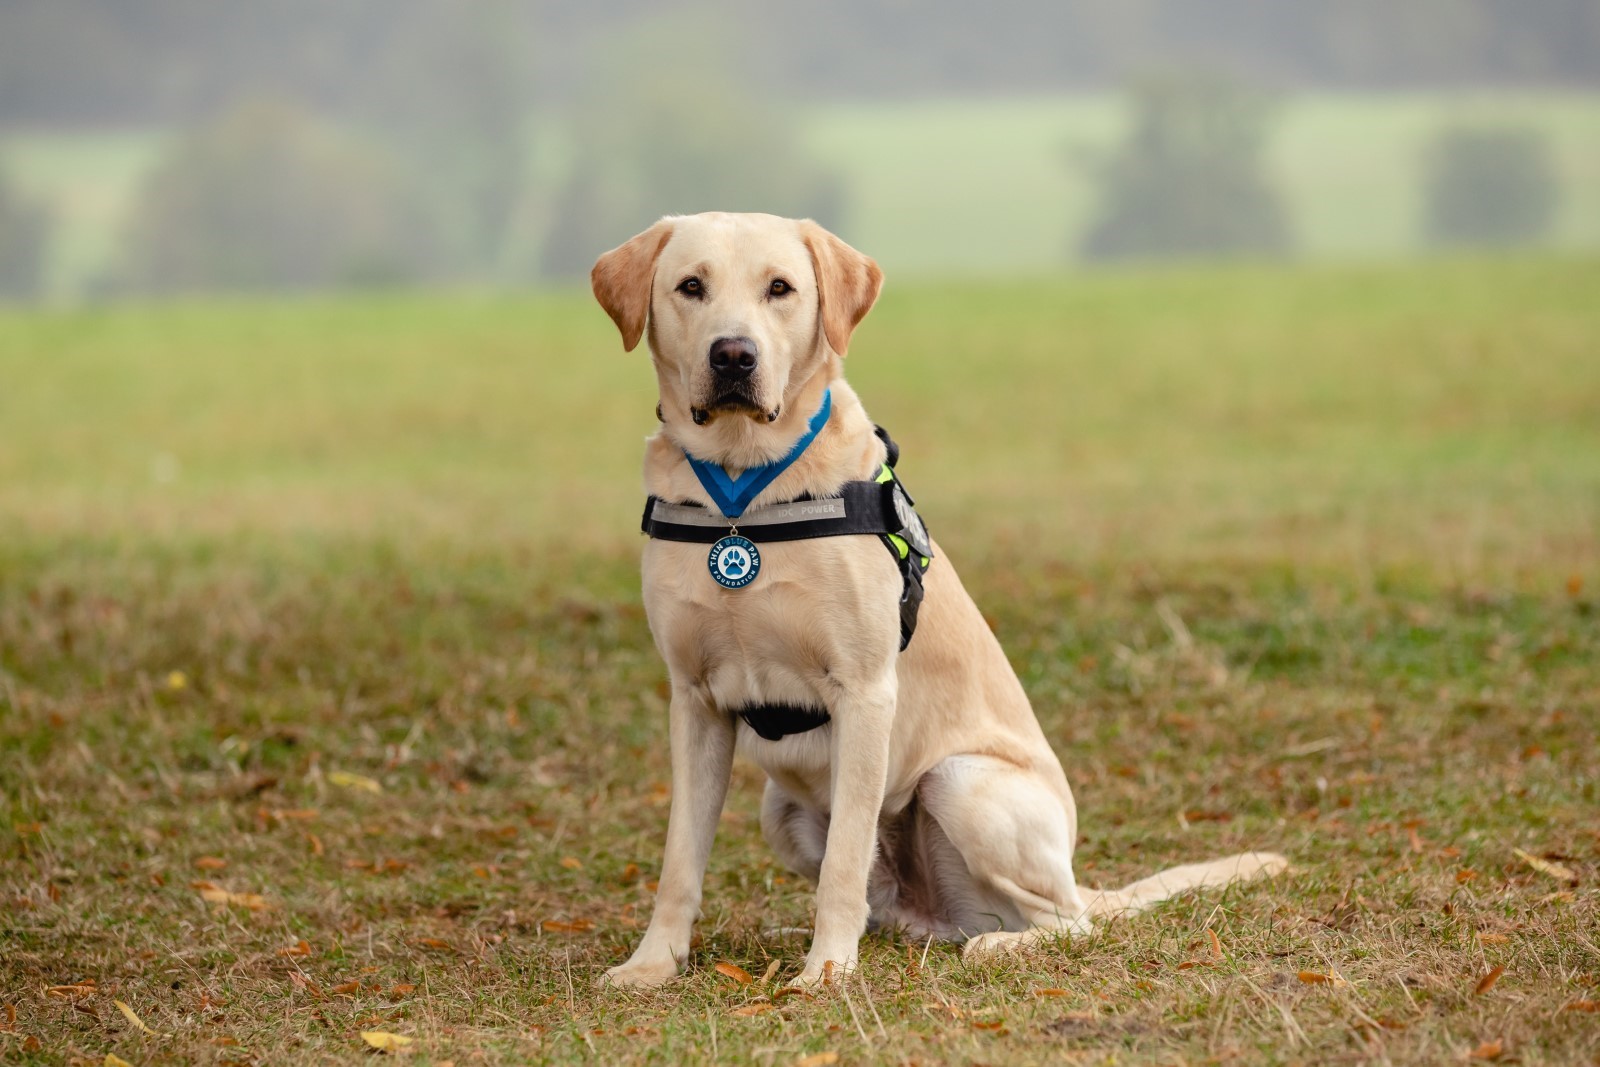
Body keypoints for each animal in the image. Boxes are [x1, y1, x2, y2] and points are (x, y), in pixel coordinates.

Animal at [592, 212, 1286, 991]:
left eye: (780, 288)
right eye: (690, 286)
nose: (734, 355)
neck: (744, 497)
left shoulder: (865, 693)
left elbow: (842, 865)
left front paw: (826, 972)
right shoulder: (695, 701)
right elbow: (681, 859)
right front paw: (654, 963)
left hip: (961, 782)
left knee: (1063, 921)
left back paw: (993, 947)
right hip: (783, 810)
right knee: (892, 901)